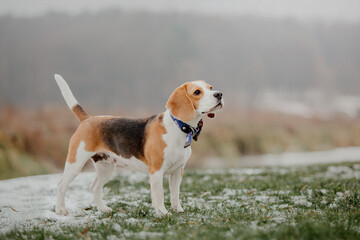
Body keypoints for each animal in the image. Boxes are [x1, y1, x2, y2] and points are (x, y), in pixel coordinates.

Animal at [54, 74, 222, 216]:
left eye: (211, 88)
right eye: (197, 92)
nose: (219, 94)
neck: (179, 128)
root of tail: (88, 119)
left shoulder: (177, 171)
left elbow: (175, 194)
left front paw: (178, 210)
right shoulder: (156, 171)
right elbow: (159, 195)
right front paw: (163, 213)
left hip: (106, 167)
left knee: (94, 187)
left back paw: (103, 209)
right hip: (75, 162)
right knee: (61, 185)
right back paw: (61, 210)